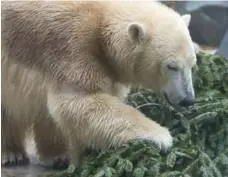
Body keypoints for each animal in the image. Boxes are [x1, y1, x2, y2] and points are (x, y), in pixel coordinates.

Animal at [1, 1, 196, 167]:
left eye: (192, 64)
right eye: (171, 66)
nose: (188, 99)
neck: (102, 20)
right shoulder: (73, 49)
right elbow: (80, 100)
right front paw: (161, 136)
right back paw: (12, 154)